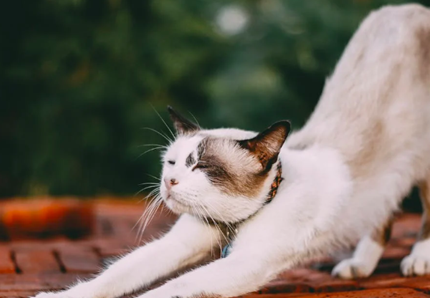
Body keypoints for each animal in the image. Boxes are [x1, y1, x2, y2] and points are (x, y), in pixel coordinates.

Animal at [32, 3, 430, 298]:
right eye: (172, 163)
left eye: (202, 166)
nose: (169, 183)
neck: (229, 225)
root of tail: (409, 8)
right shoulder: (178, 244)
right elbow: (112, 276)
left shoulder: (247, 262)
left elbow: (170, 287)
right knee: (384, 211)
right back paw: (358, 267)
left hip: (423, 166)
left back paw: (417, 260)